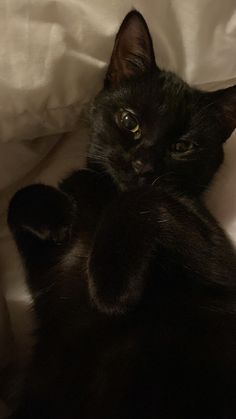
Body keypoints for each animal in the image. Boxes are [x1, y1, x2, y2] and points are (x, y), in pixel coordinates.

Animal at [7, 9, 236, 419]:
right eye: (129, 121)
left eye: (182, 146)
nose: (142, 164)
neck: (106, 191)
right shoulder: (47, 276)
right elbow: (18, 197)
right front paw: (58, 214)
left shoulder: (219, 260)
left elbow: (145, 197)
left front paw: (110, 286)